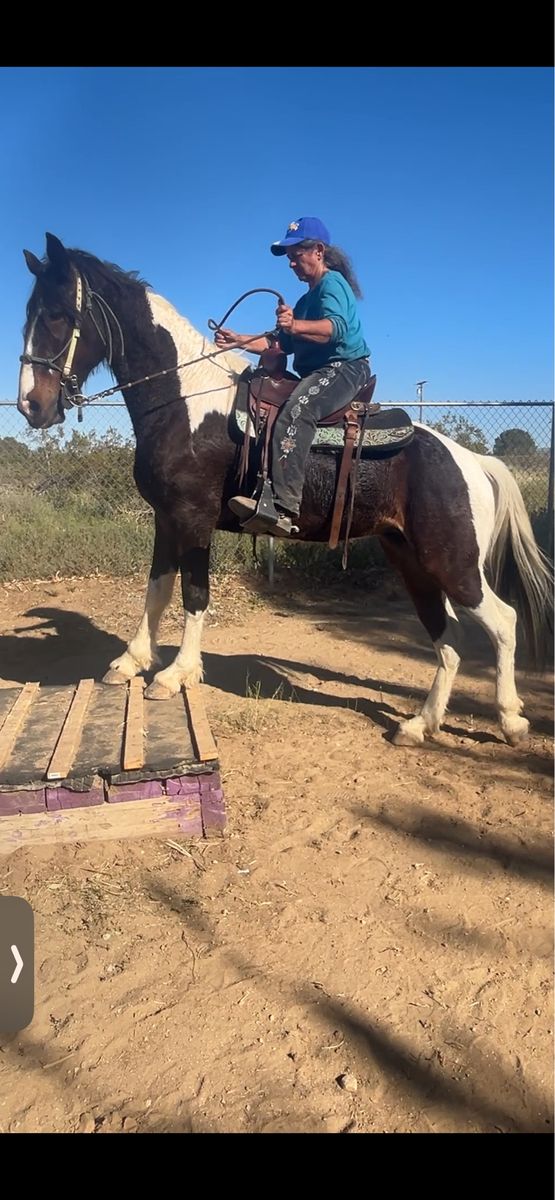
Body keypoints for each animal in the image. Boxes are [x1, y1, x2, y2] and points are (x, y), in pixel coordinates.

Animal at [17, 233, 552, 749]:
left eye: (58, 315)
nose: (30, 405)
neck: (186, 401)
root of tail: (473, 461)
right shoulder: (166, 519)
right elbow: (157, 589)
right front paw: (130, 661)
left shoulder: (193, 518)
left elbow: (194, 594)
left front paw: (175, 674)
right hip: (410, 559)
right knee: (448, 639)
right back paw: (420, 725)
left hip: (452, 561)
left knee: (502, 622)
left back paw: (511, 721)